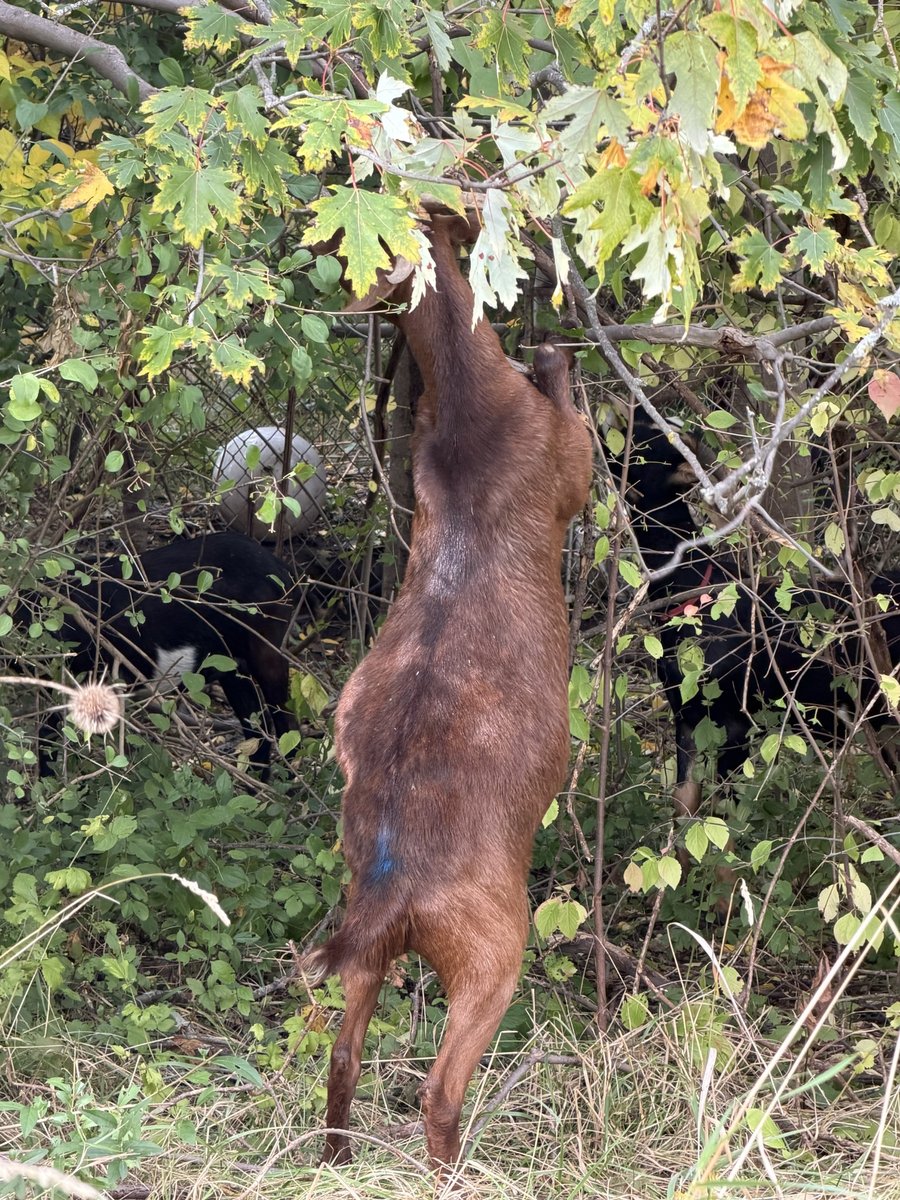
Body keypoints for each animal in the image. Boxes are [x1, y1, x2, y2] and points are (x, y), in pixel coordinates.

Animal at [29, 532, 295, 776]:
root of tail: (283, 572)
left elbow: (49, 733)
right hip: (232, 667)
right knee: (257, 725)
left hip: (266, 650)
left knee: (285, 720)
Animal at [302, 213, 593, 1171]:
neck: (469, 400)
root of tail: (396, 895)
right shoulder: (569, 462)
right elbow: (568, 410)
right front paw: (553, 347)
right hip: (494, 952)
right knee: (436, 1088)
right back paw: (455, 1169)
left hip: (363, 956)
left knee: (343, 1058)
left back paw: (338, 1162)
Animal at [612, 416, 900, 824]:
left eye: (641, 443)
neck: (688, 588)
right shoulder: (687, 719)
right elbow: (685, 806)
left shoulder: (736, 725)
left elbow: (728, 817)